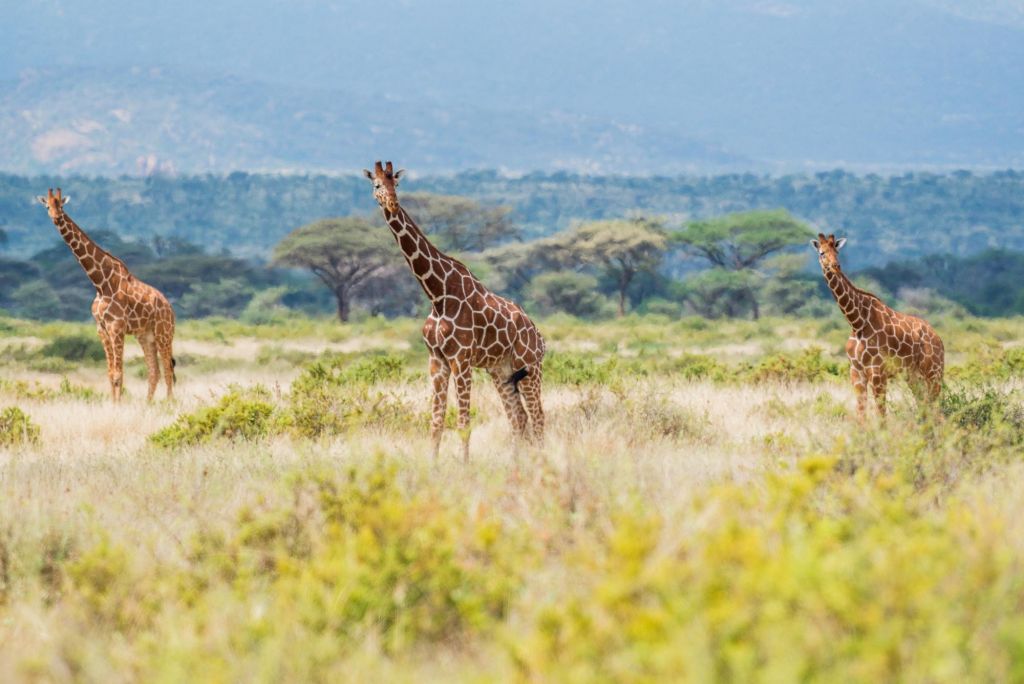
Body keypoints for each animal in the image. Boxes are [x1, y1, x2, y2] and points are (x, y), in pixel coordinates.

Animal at [37, 188, 177, 401]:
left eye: (61, 205)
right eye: (47, 206)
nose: (56, 217)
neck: (100, 284)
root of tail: (169, 307)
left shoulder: (116, 327)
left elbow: (119, 374)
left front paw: (118, 406)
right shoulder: (101, 329)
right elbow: (111, 374)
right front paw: (113, 405)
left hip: (164, 333)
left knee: (168, 371)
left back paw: (169, 404)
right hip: (146, 336)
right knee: (155, 371)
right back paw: (148, 405)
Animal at [364, 161, 548, 458]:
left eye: (397, 184)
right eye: (377, 184)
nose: (392, 203)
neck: (437, 294)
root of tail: (540, 337)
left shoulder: (461, 359)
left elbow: (463, 423)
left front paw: (464, 465)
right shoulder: (437, 360)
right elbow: (436, 423)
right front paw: (433, 464)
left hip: (530, 366)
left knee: (538, 416)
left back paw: (539, 461)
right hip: (501, 371)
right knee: (518, 417)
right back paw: (516, 461)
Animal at [811, 233, 946, 417]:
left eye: (837, 252)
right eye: (822, 253)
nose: (835, 266)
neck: (856, 322)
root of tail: (939, 339)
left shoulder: (878, 373)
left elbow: (881, 415)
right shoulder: (856, 372)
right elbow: (861, 413)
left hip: (933, 372)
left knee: (936, 408)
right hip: (913, 376)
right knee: (924, 406)